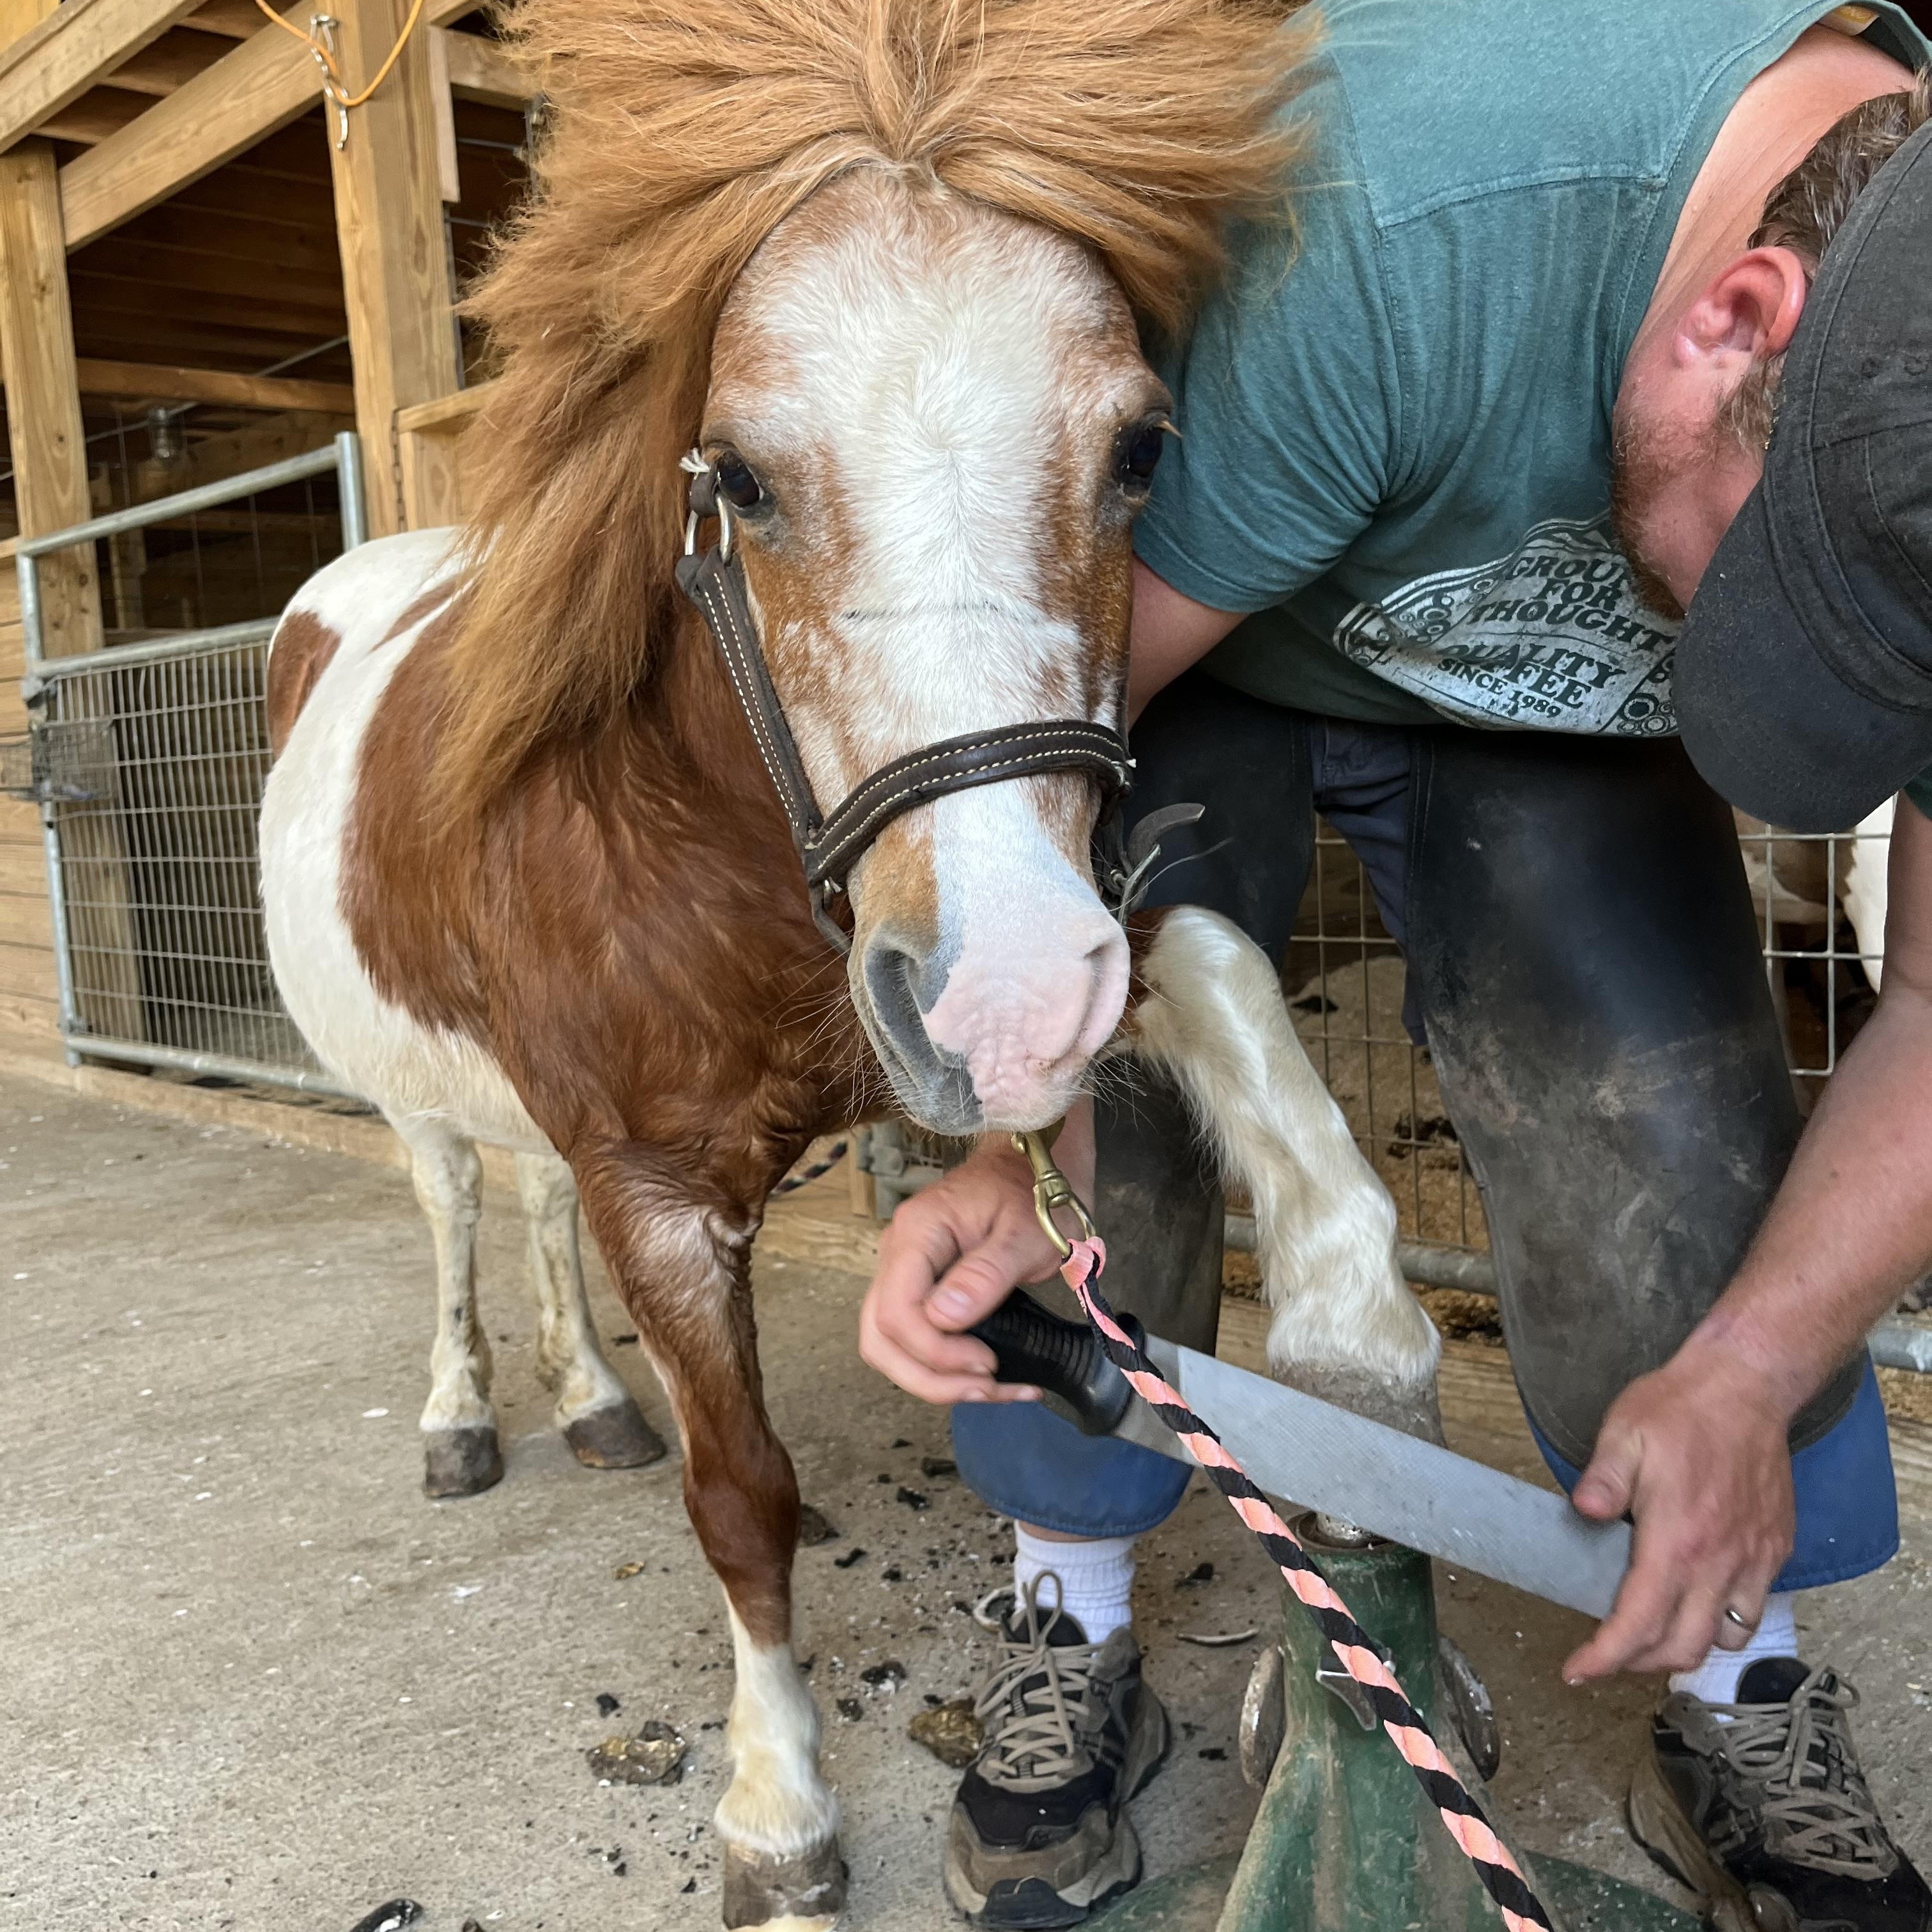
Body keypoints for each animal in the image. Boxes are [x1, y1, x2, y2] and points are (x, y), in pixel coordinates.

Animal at [257, 0, 1439, 1921]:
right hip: (422, 1094)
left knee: (526, 1209)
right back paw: (465, 1416)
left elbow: (1204, 959)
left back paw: (592, 1400)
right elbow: (739, 1495)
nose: (1008, 1003)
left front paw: (1355, 1334)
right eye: (735, 475)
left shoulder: (1026, 942)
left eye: (1141, 448)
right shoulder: (661, 1191)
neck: (719, 848)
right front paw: (777, 1806)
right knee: (452, 1212)